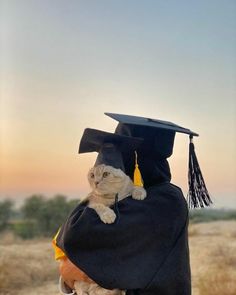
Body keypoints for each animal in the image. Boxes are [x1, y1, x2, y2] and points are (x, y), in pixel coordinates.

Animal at [72, 164, 147, 295]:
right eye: (92, 175)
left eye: (105, 174)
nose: (96, 182)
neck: (112, 197)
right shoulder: (91, 204)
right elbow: (99, 206)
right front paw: (108, 215)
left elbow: (133, 187)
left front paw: (139, 192)